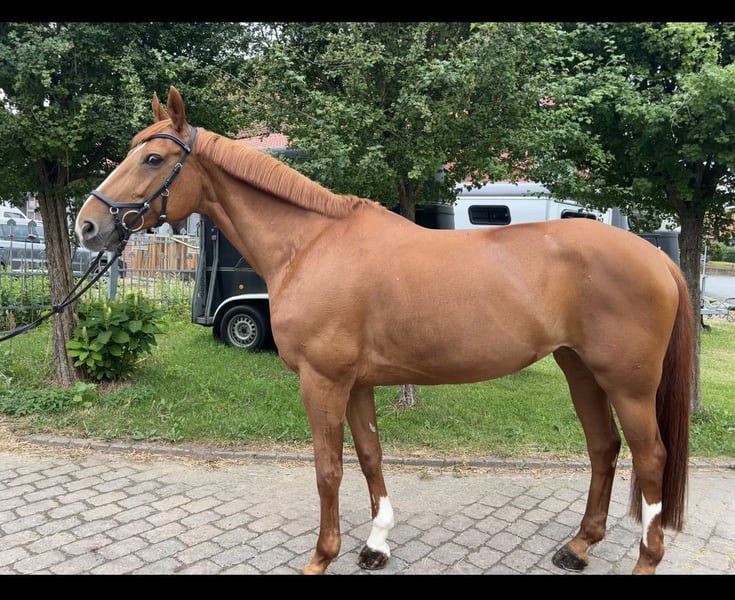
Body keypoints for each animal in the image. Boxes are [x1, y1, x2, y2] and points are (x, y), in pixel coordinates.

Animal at [75, 86, 694, 575]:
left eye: (153, 158)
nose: (88, 225)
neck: (310, 245)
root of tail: (658, 260)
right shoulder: (358, 383)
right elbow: (370, 455)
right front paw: (375, 544)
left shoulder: (322, 382)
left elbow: (328, 469)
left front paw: (322, 556)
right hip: (580, 369)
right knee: (604, 447)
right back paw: (579, 546)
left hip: (629, 384)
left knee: (651, 458)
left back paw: (645, 559)